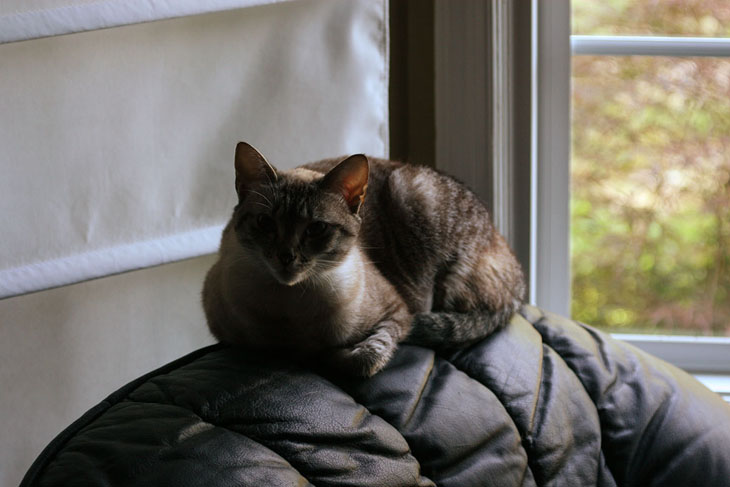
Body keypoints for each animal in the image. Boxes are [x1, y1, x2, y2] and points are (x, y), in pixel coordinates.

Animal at [202, 141, 528, 378]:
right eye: (265, 223)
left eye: (316, 229)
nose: (286, 257)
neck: (288, 312)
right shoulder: (230, 337)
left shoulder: (398, 314)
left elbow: (364, 358)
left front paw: (329, 356)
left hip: (413, 196)